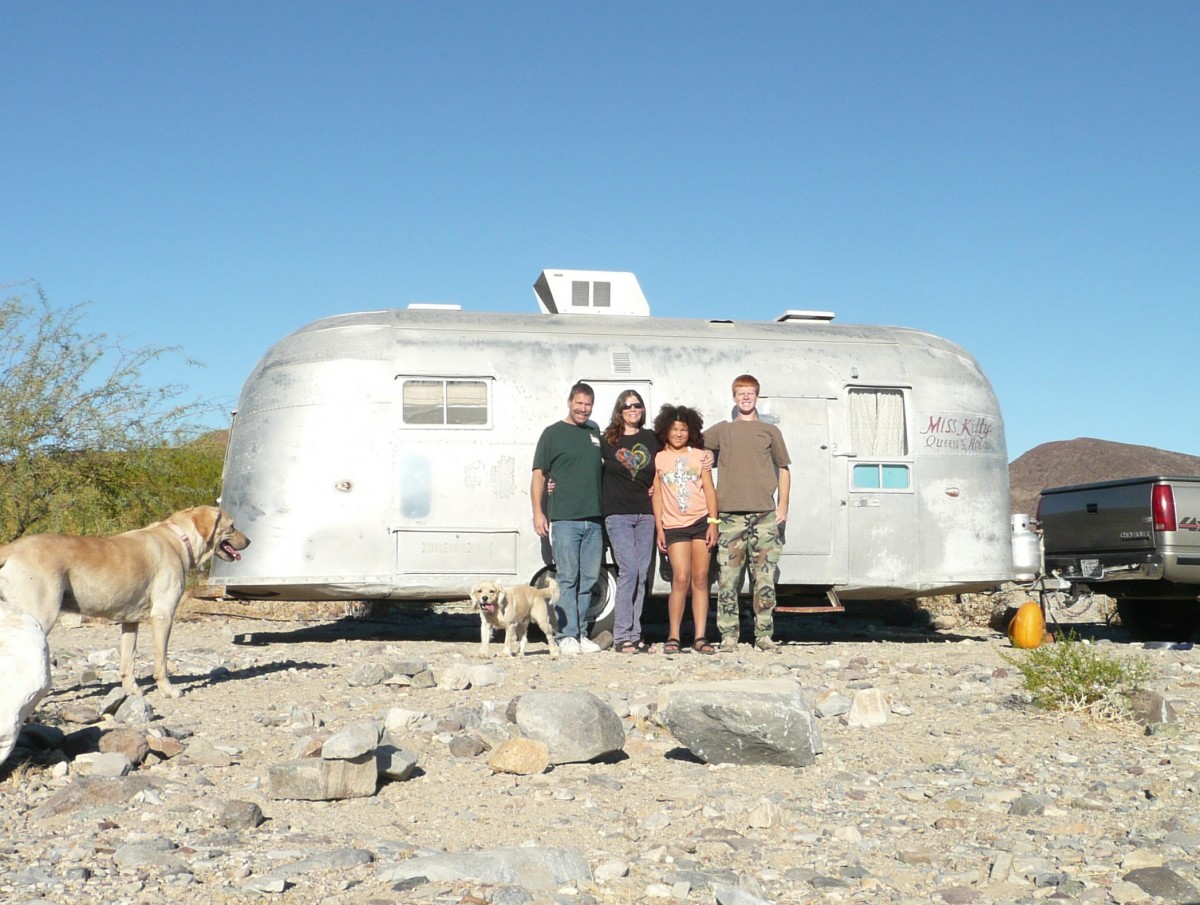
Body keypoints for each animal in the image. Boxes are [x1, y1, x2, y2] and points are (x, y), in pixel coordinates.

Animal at [0, 504, 249, 696]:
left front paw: (131, 689)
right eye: (232, 526)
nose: (248, 541)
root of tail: (10, 548)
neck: (180, 539)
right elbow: (161, 660)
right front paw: (167, 690)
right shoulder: (163, 615)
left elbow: (128, 660)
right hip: (41, 617)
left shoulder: (130, 622)